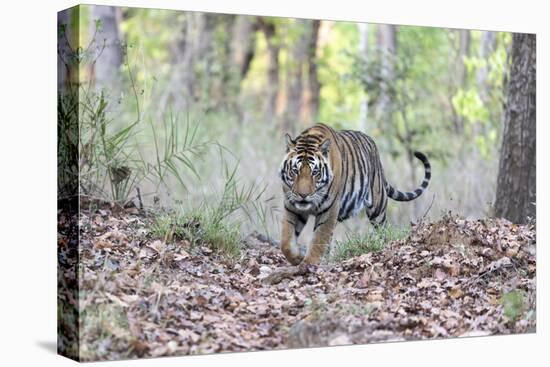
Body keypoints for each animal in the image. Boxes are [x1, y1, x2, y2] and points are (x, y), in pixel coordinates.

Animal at [280, 123, 432, 264]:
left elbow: (319, 239)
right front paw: (297, 258)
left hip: (377, 208)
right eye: (295, 171)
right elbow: (286, 242)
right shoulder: (291, 206)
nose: (303, 195)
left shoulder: (329, 209)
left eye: (315, 172)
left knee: (383, 228)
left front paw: (309, 263)